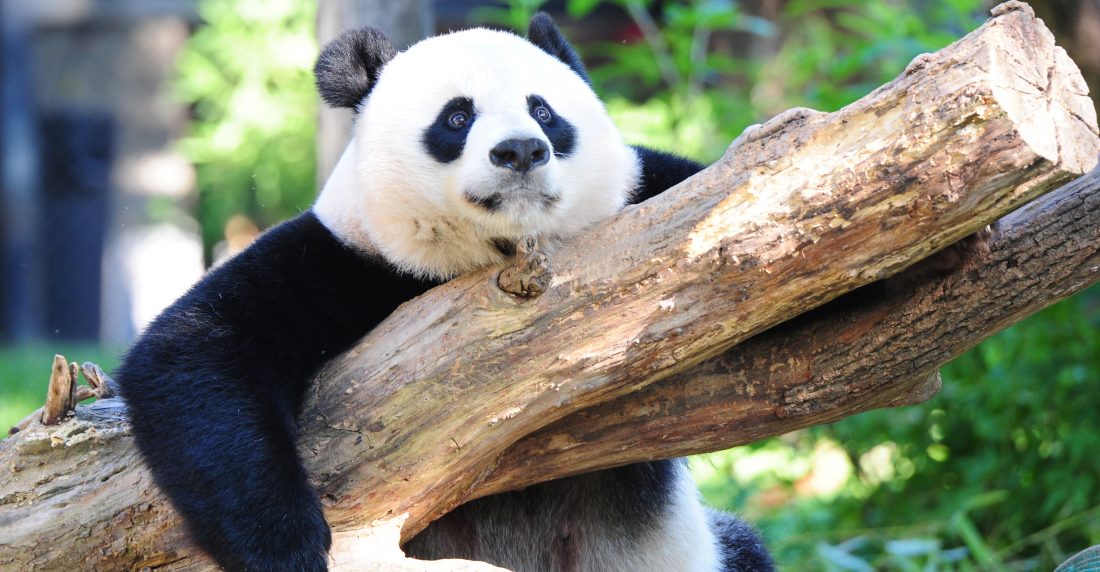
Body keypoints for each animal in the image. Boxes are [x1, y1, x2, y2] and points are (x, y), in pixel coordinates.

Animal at [116, 13, 774, 572]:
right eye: (457, 118)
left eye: (544, 111)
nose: (520, 151)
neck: (497, 252)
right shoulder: (346, 259)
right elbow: (197, 349)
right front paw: (288, 546)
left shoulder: (650, 196)